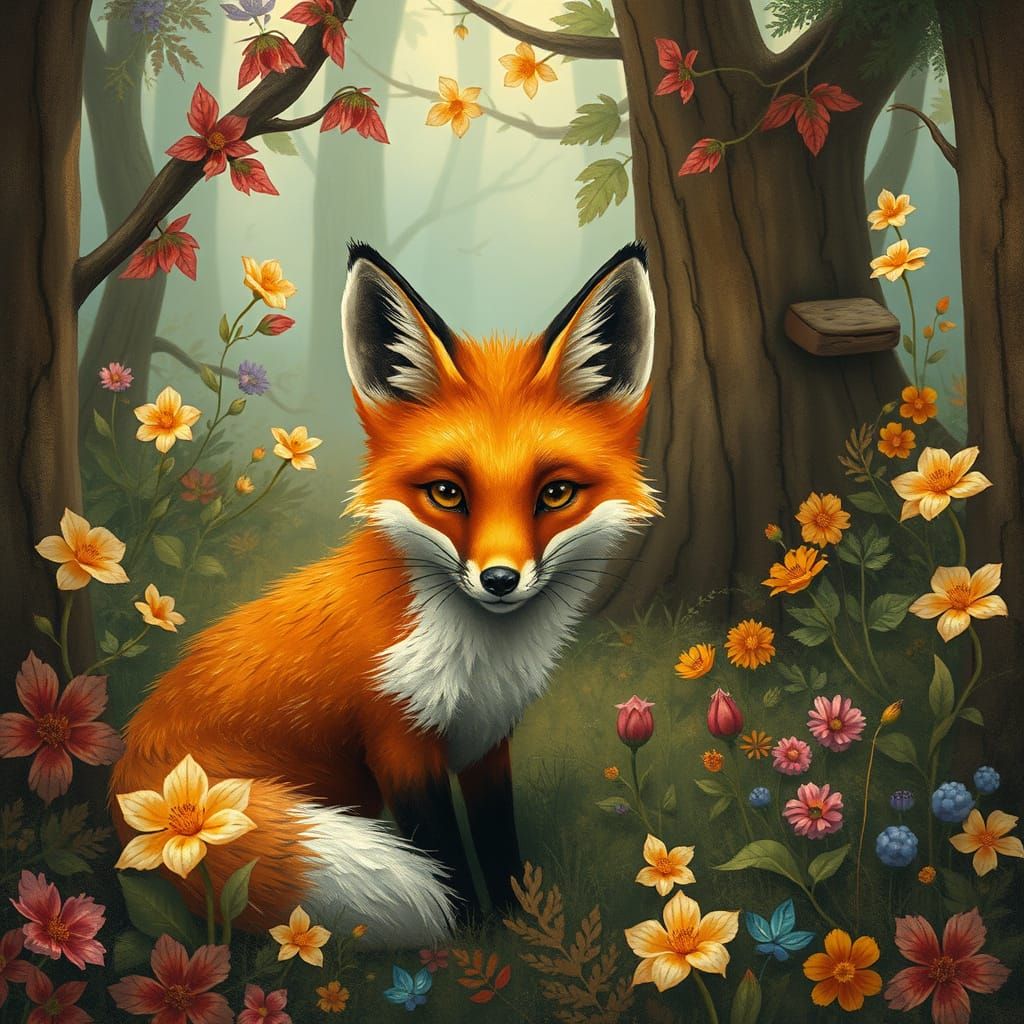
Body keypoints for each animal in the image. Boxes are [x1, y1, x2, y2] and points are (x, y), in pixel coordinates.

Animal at [110, 240, 659, 948]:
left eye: (555, 493)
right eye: (447, 493)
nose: (499, 580)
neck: (479, 658)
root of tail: (132, 767)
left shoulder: (489, 739)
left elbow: (499, 843)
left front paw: (522, 928)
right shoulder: (397, 741)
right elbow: (444, 859)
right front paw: (471, 939)